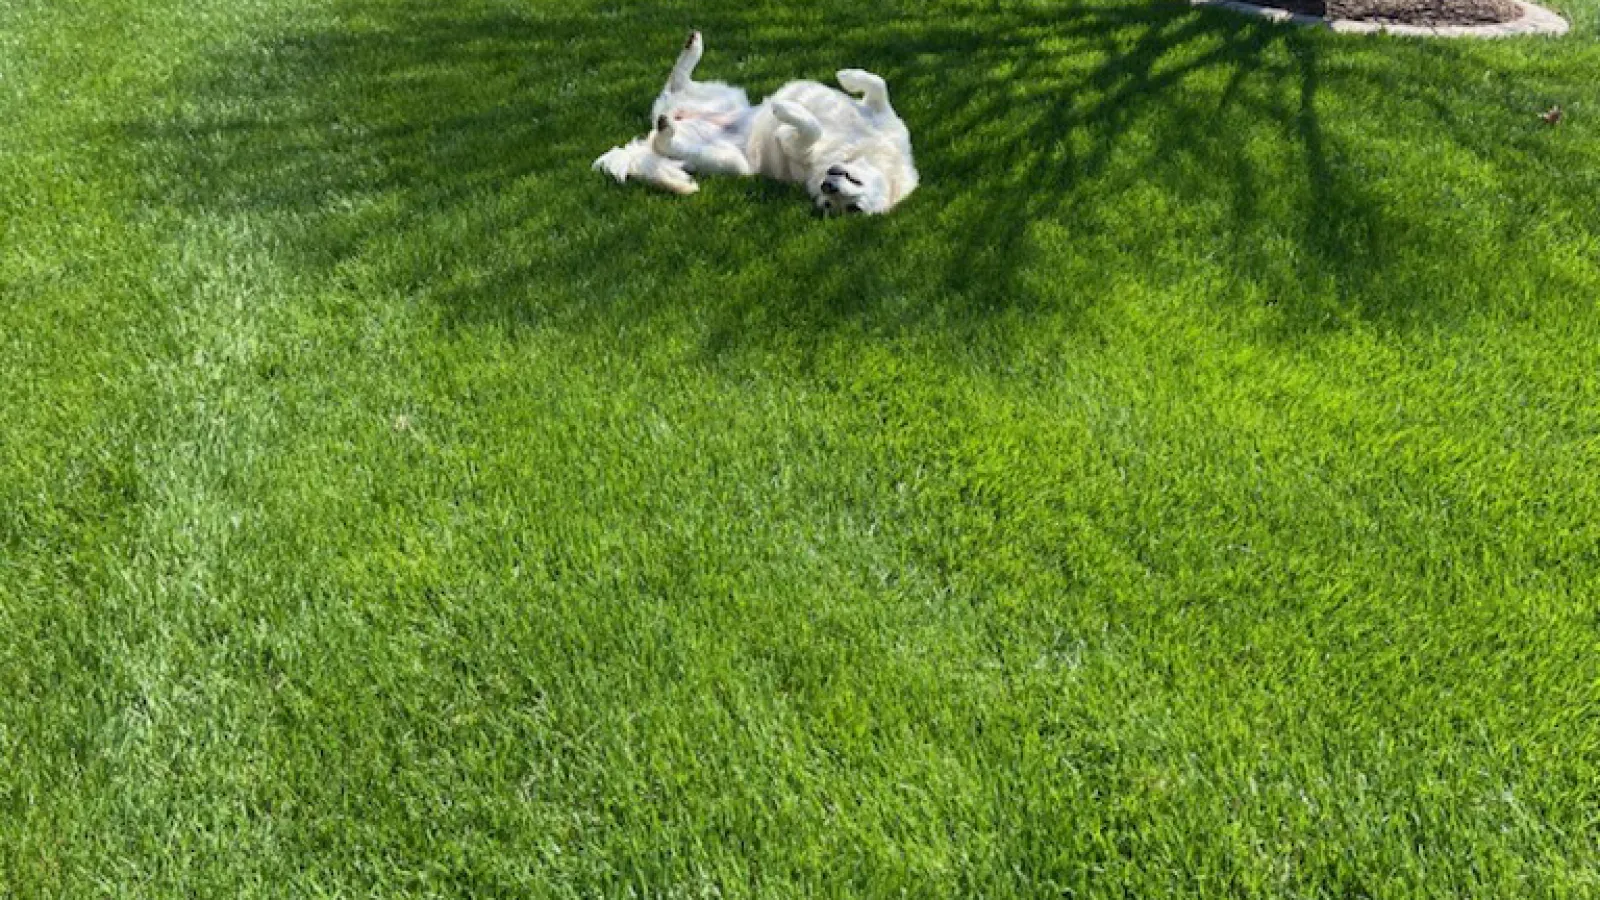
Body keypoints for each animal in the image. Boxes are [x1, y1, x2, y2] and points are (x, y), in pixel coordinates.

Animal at [595, 32, 921, 216]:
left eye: (850, 208)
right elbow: (877, 83)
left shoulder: (802, 151)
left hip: (733, 164)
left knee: (664, 136)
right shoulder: (882, 114)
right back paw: (692, 47)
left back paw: (667, 131)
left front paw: (785, 114)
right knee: (675, 83)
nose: (828, 187)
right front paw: (846, 76)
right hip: (727, 98)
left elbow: (808, 131)